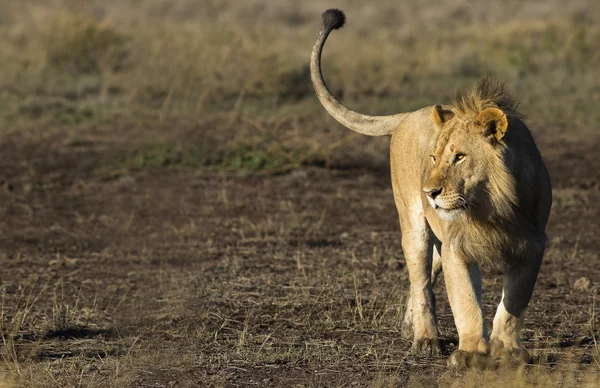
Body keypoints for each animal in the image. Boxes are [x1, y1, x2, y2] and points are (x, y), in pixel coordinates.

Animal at [312, 8, 552, 366]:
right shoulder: (458, 247)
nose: (431, 193)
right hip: (415, 228)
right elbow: (466, 302)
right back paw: (425, 338)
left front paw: (507, 351)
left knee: (426, 279)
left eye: (459, 157)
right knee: (421, 281)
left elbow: (513, 306)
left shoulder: (533, 245)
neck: (492, 206)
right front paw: (471, 353)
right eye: (434, 157)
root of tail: (410, 113)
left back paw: (409, 326)